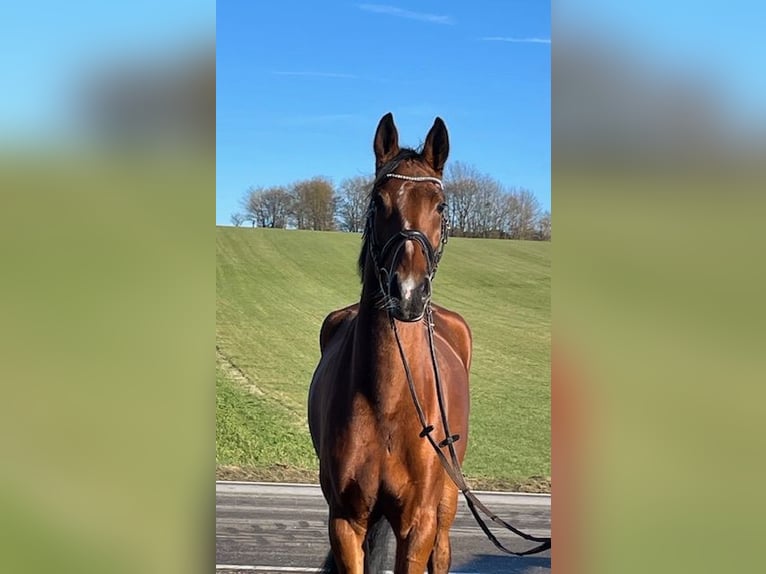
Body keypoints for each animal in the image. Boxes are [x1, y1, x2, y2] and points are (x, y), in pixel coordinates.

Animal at [308, 113, 472, 574]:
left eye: (440, 206)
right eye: (378, 202)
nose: (408, 292)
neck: (387, 399)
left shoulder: (418, 524)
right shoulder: (346, 522)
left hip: (447, 501)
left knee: (443, 551)